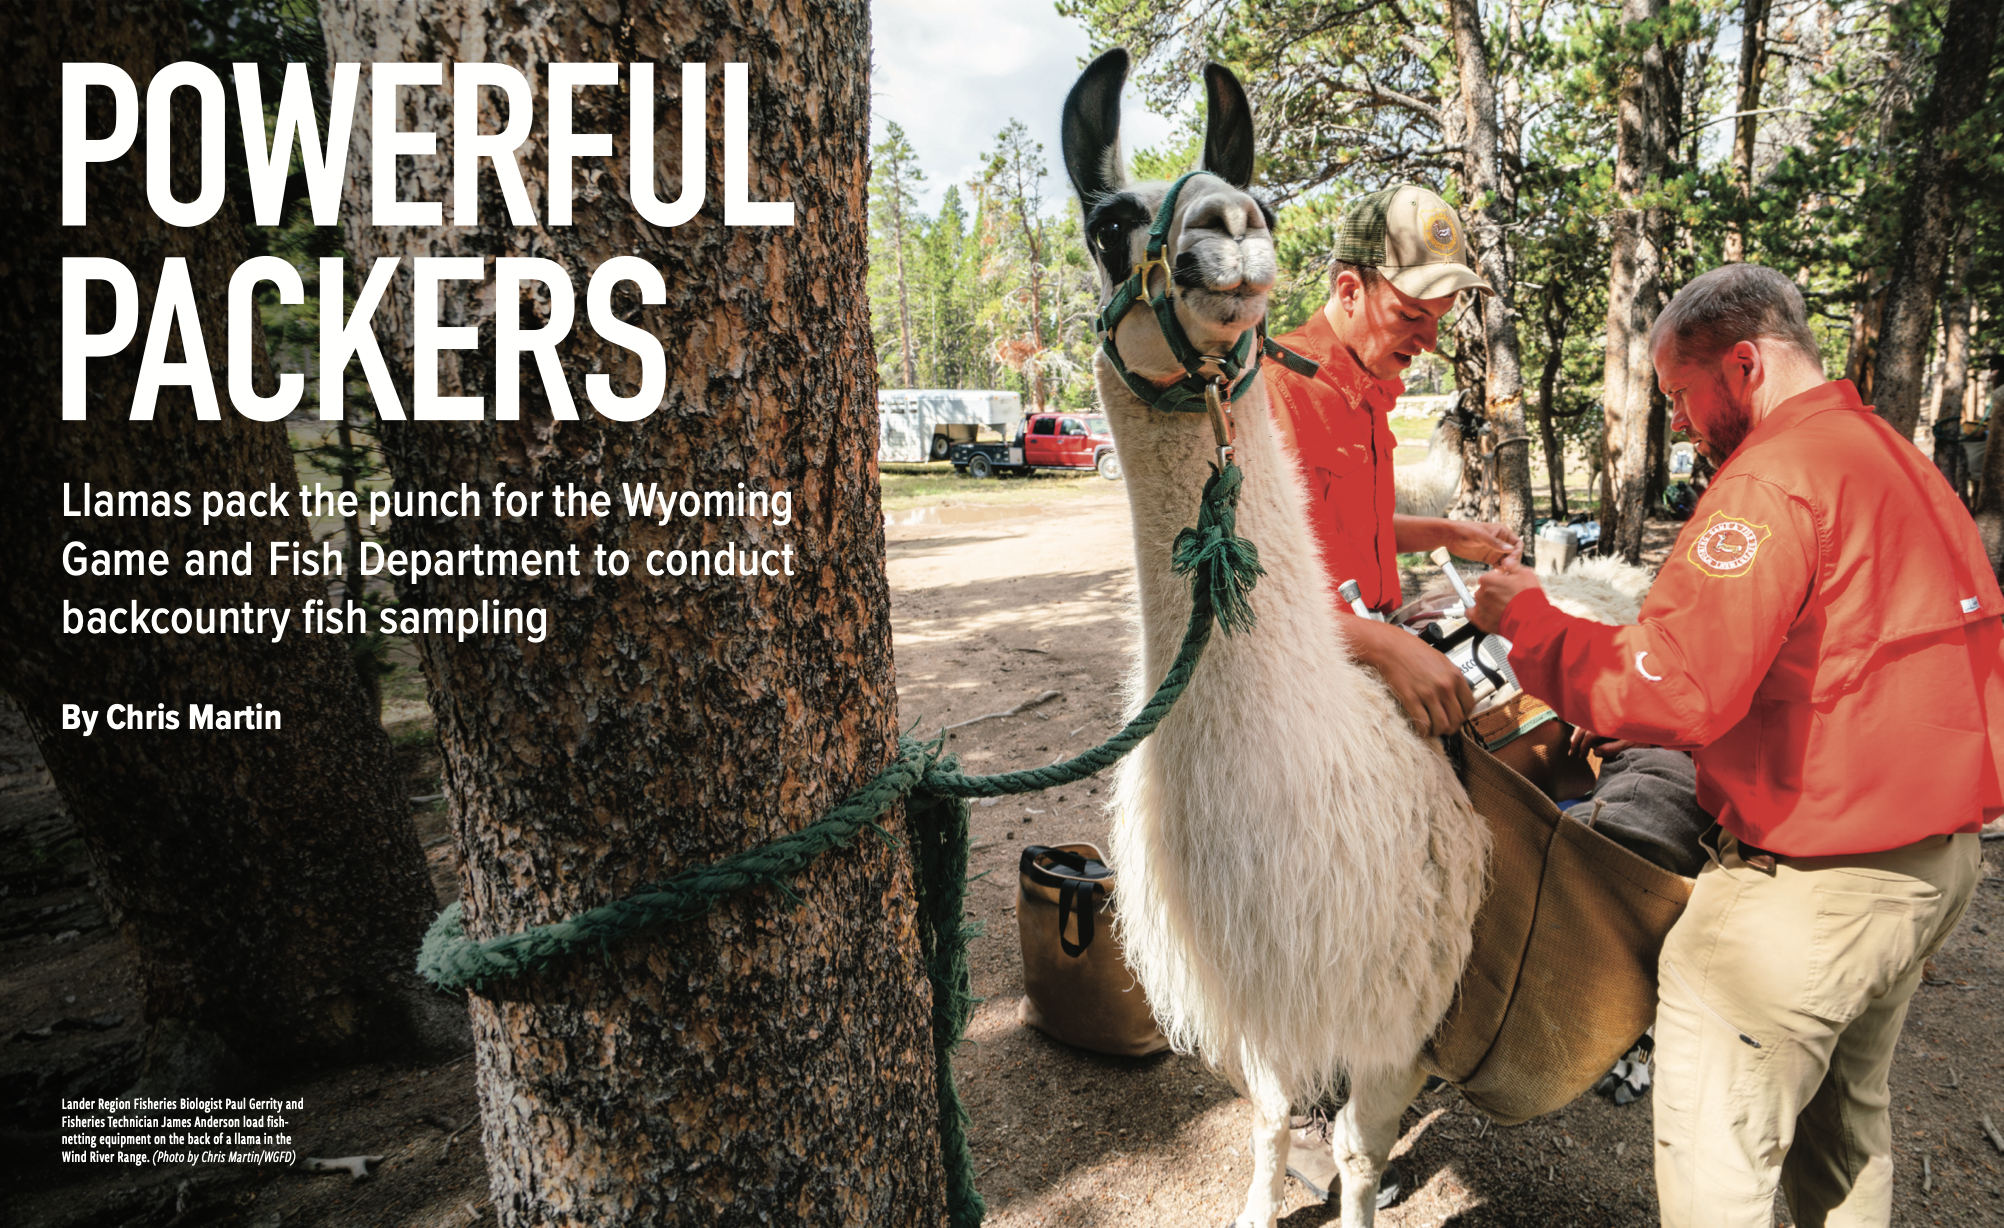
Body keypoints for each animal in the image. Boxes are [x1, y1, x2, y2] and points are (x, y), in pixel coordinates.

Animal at [1062, 50, 1489, 1228]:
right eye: (1108, 221)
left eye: (1261, 200)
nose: (1231, 226)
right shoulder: (1258, 985)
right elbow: (1265, 1120)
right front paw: (1258, 1207)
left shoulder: (1395, 1004)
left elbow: (1354, 1148)